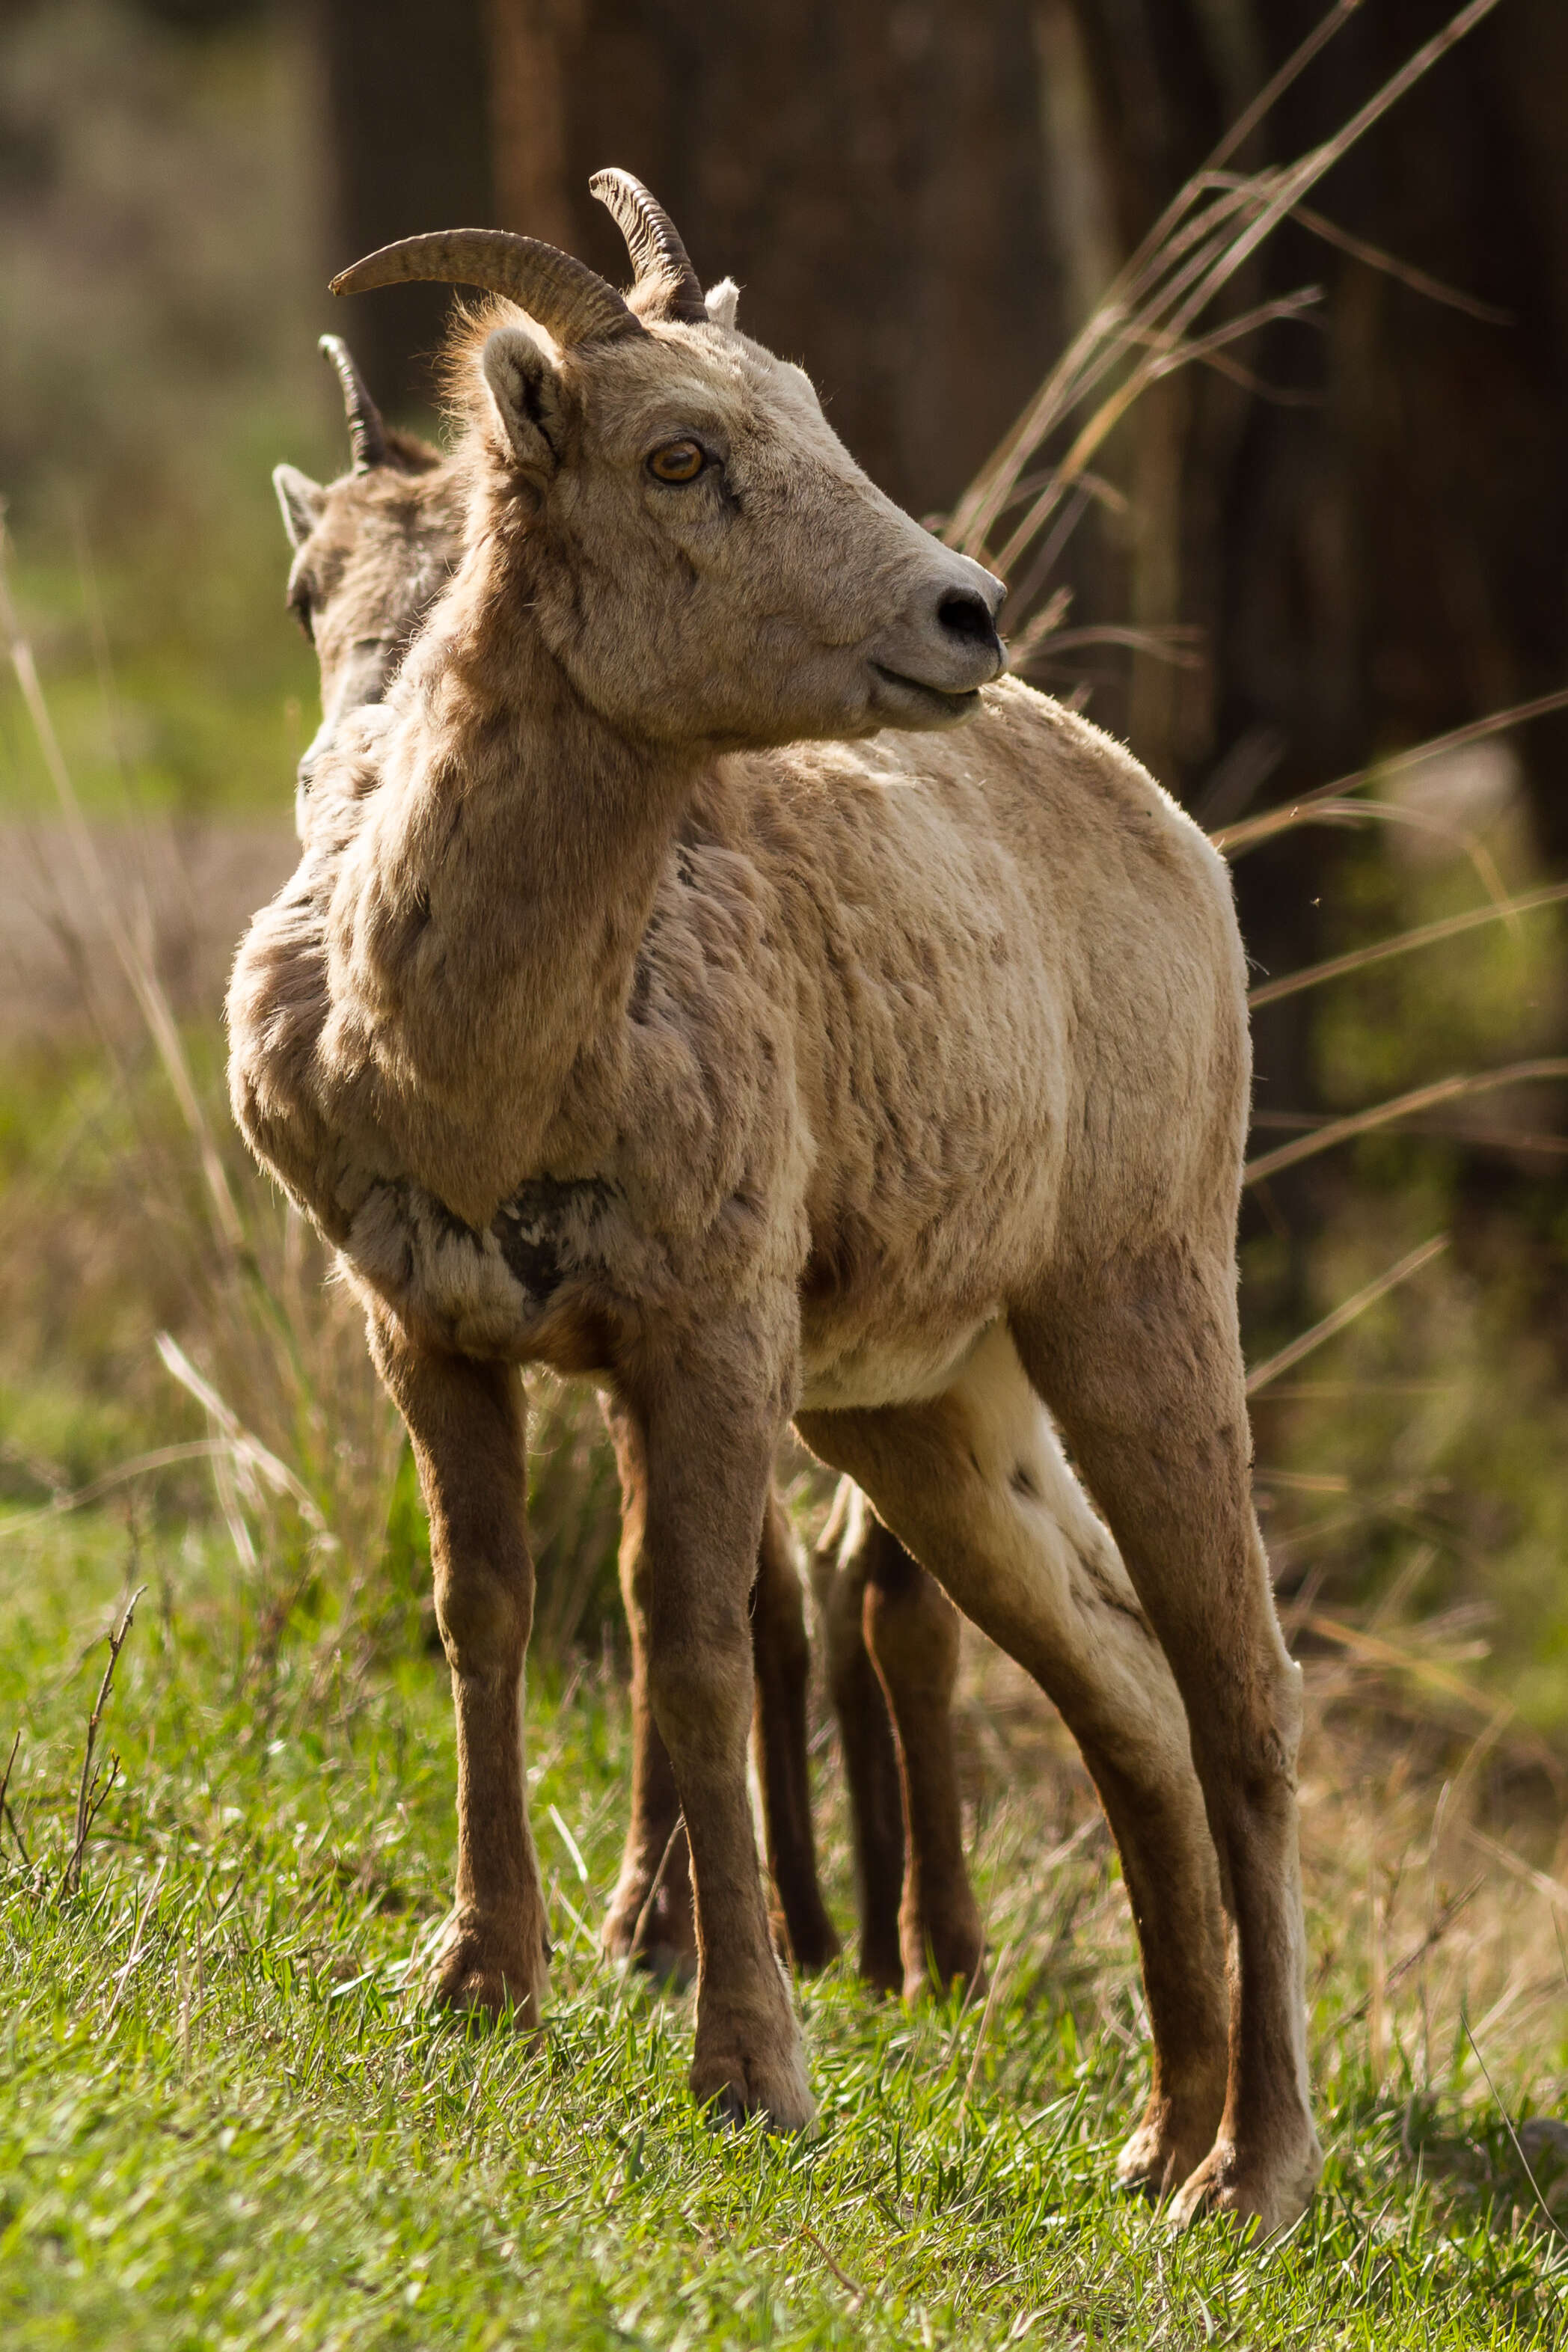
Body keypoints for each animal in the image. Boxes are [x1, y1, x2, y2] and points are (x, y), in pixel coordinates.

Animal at [270, 327, 982, 1985]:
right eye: (306, 594)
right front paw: (629, 1930)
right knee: (827, 1583)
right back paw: (840, 1932)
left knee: (881, 1589)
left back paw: (929, 1950)